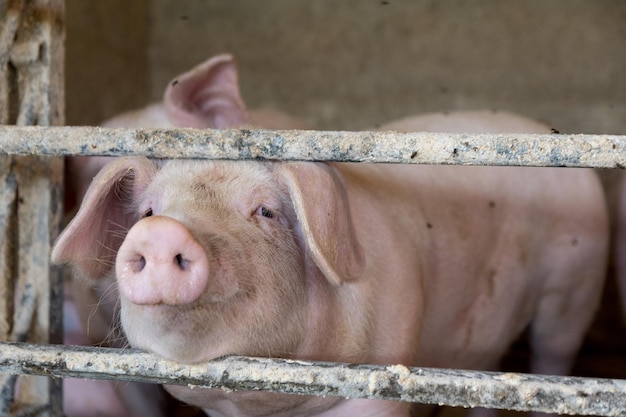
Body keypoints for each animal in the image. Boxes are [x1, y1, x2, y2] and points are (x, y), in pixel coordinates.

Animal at [57, 52, 604, 416]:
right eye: (147, 211)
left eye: (266, 211)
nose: (161, 230)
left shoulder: (383, 370)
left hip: (574, 286)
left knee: (553, 354)